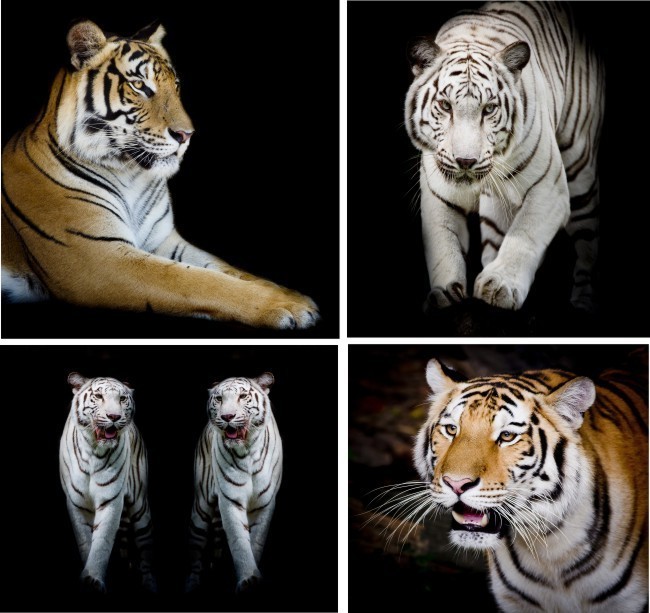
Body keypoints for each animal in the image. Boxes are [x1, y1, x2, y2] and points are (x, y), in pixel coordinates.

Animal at [1, 20, 319, 329]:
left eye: (175, 86)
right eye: (139, 85)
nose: (186, 135)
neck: (129, 174)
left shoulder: (164, 241)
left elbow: (230, 270)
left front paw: (293, 296)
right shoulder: (97, 256)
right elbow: (197, 280)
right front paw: (288, 307)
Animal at [59, 373, 156, 593]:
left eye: (122, 399)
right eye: (98, 396)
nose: (114, 417)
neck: (93, 451)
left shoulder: (111, 499)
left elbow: (102, 540)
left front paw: (93, 578)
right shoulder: (76, 503)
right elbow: (85, 541)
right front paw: (88, 575)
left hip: (140, 508)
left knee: (146, 548)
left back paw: (149, 584)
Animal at [186, 373, 283, 593]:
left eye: (243, 396)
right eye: (219, 399)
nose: (227, 416)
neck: (248, 451)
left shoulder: (265, 503)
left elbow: (256, 541)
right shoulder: (230, 499)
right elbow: (239, 540)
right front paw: (248, 578)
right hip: (201, 509)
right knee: (195, 550)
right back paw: (192, 584)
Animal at [406, 2, 603, 312]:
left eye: (489, 109)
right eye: (445, 106)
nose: (465, 161)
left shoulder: (550, 187)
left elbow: (524, 234)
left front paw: (500, 286)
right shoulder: (439, 194)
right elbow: (443, 245)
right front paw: (444, 293)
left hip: (580, 169)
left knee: (587, 245)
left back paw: (583, 302)